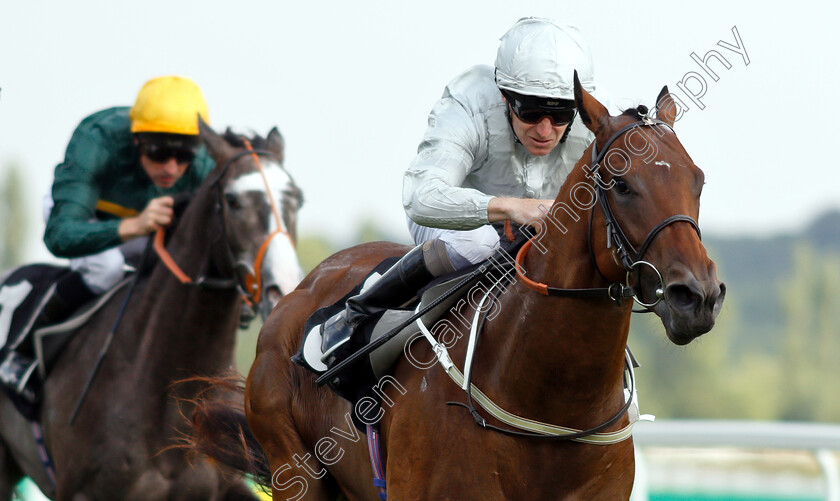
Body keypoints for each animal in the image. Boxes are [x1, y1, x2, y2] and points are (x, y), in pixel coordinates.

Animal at [203, 78, 720, 500]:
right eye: (621, 183)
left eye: (698, 180)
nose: (697, 297)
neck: (553, 410)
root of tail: (300, 292)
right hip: (295, 469)